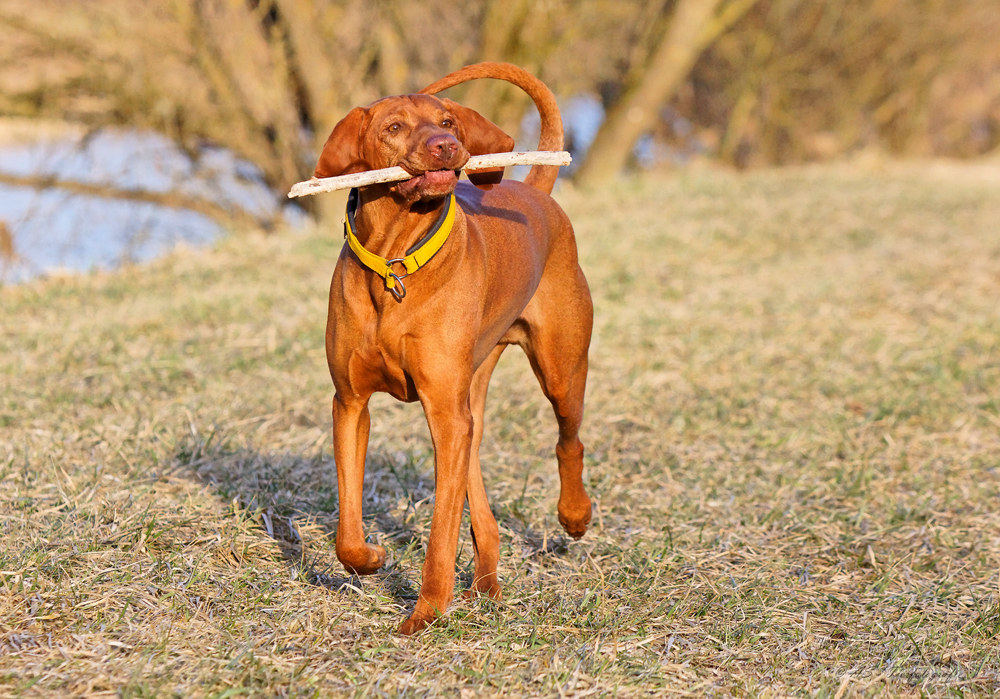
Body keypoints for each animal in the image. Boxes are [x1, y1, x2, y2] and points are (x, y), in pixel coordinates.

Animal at [316, 63, 588, 636]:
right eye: (394, 127)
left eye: (446, 121)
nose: (445, 146)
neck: (396, 263)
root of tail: (537, 191)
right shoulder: (350, 403)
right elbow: (347, 523)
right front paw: (370, 559)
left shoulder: (442, 410)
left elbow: (442, 529)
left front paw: (426, 612)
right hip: (470, 396)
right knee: (476, 466)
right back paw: (486, 582)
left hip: (560, 368)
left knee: (568, 439)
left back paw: (574, 516)